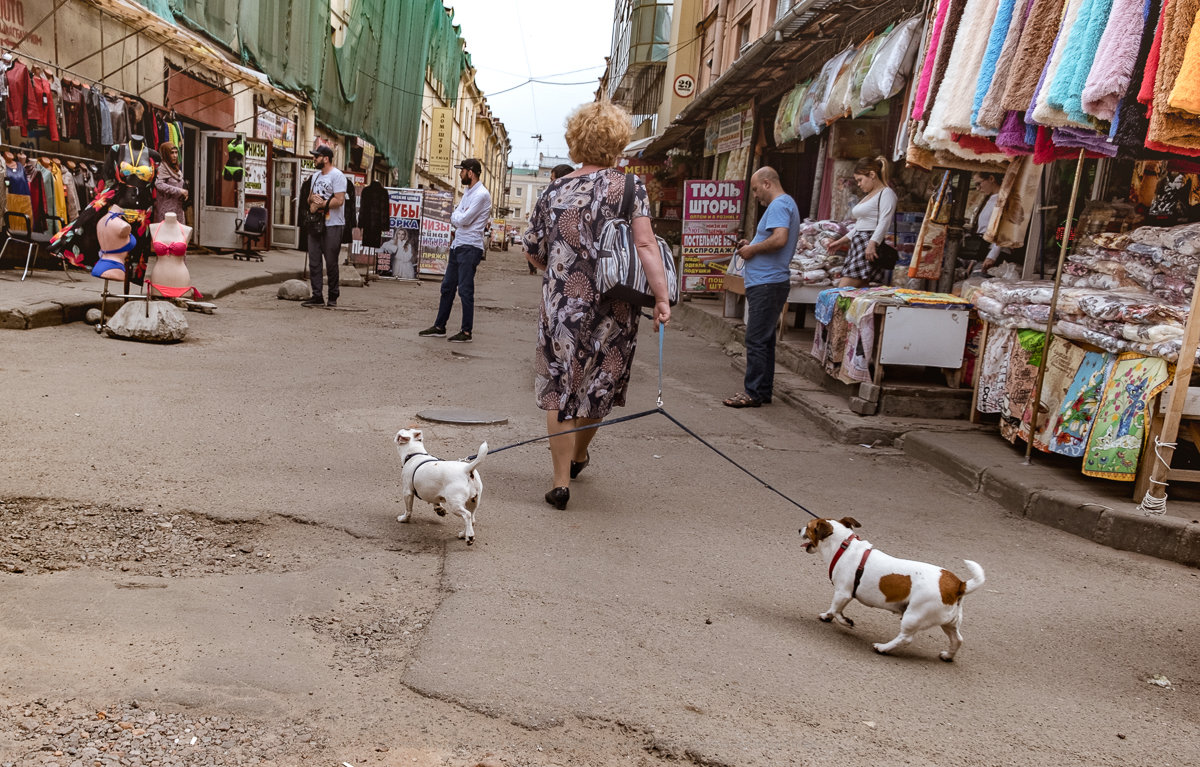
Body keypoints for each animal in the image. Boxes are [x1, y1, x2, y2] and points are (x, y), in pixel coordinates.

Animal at [806, 516, 984, 662]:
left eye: (808, 527)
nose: (800, 529)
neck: (844, 547)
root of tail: (958, 584)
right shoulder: (843, 595)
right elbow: (834, 610)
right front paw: (827, 616)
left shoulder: (843, 594)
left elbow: (836, 610)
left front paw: (843, 620)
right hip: (949, 623)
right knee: (957, 640)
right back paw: (947, 656)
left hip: (913, 616)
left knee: (905, 638)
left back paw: (883, 648)